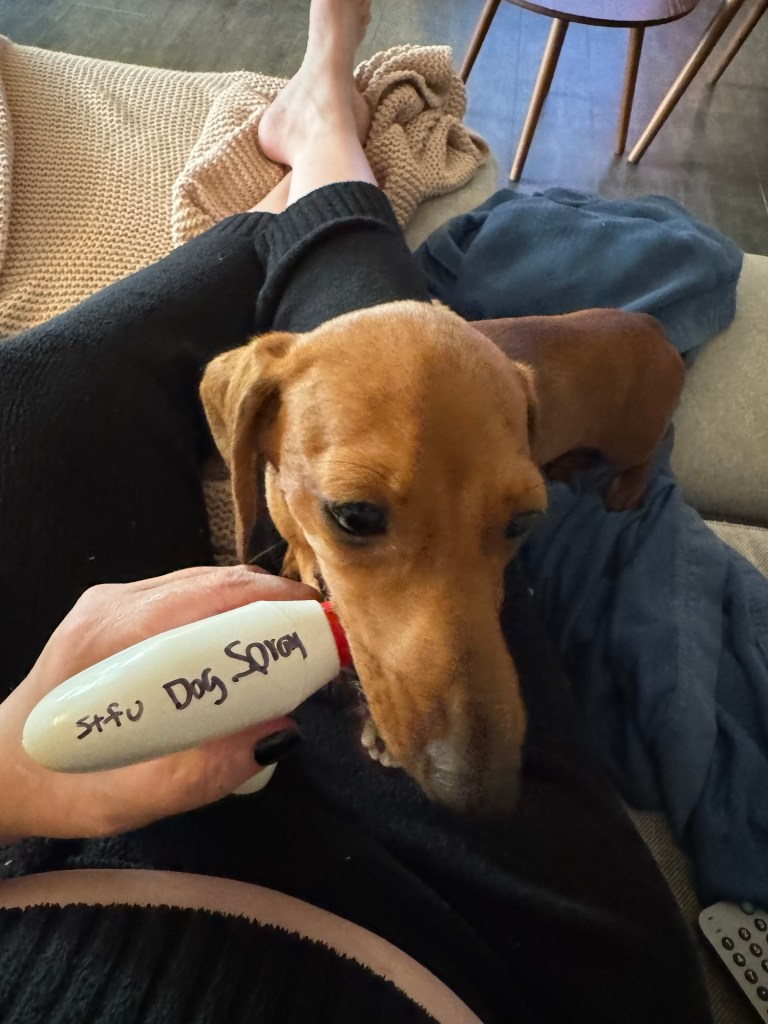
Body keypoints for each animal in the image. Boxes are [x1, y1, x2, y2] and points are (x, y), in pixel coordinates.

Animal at [200, 300, 684, 815]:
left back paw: (626, 491)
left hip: (632, 439)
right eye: (355, 516)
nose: (481, 794)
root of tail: (650, 325)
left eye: (523, 521)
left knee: (647, 455)